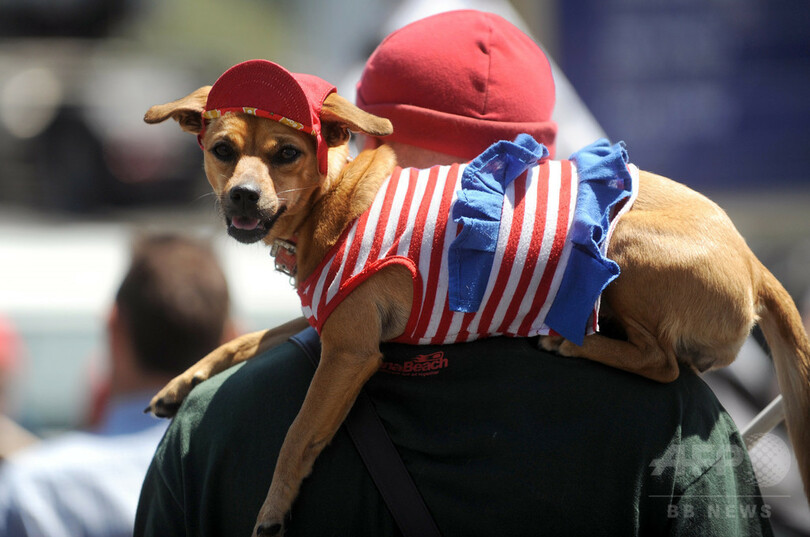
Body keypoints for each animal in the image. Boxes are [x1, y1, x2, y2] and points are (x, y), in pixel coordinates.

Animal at [145, 61, 808, 532]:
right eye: (222, 151)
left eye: (288, 153)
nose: (243, 196)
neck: (337, 199)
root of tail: (753, 261)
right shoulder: (328, 323)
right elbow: (253, 339)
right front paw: (184, 381)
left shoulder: (349, 353)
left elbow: (296, 433)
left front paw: (272, 509)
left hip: (626, 252)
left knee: (663, 362)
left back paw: (572, 343)